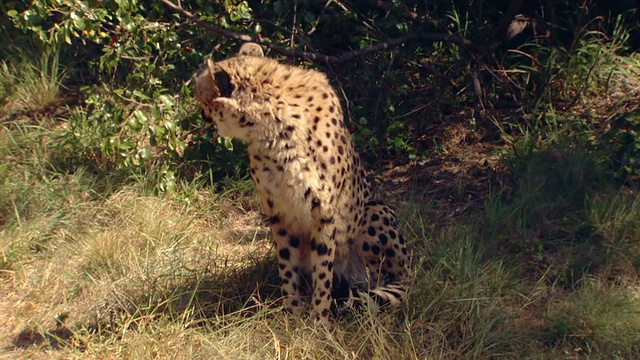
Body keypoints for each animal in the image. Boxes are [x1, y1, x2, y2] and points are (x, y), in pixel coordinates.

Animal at [192, 43, 410, 322]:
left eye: (202, 95)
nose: (201, 114)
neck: (271, 125)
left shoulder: (323, 211)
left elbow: (323, 270)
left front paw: (319, 319)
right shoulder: (279, 212)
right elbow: (287, 265)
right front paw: (292, 313)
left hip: (375, 212)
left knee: (391, 280)